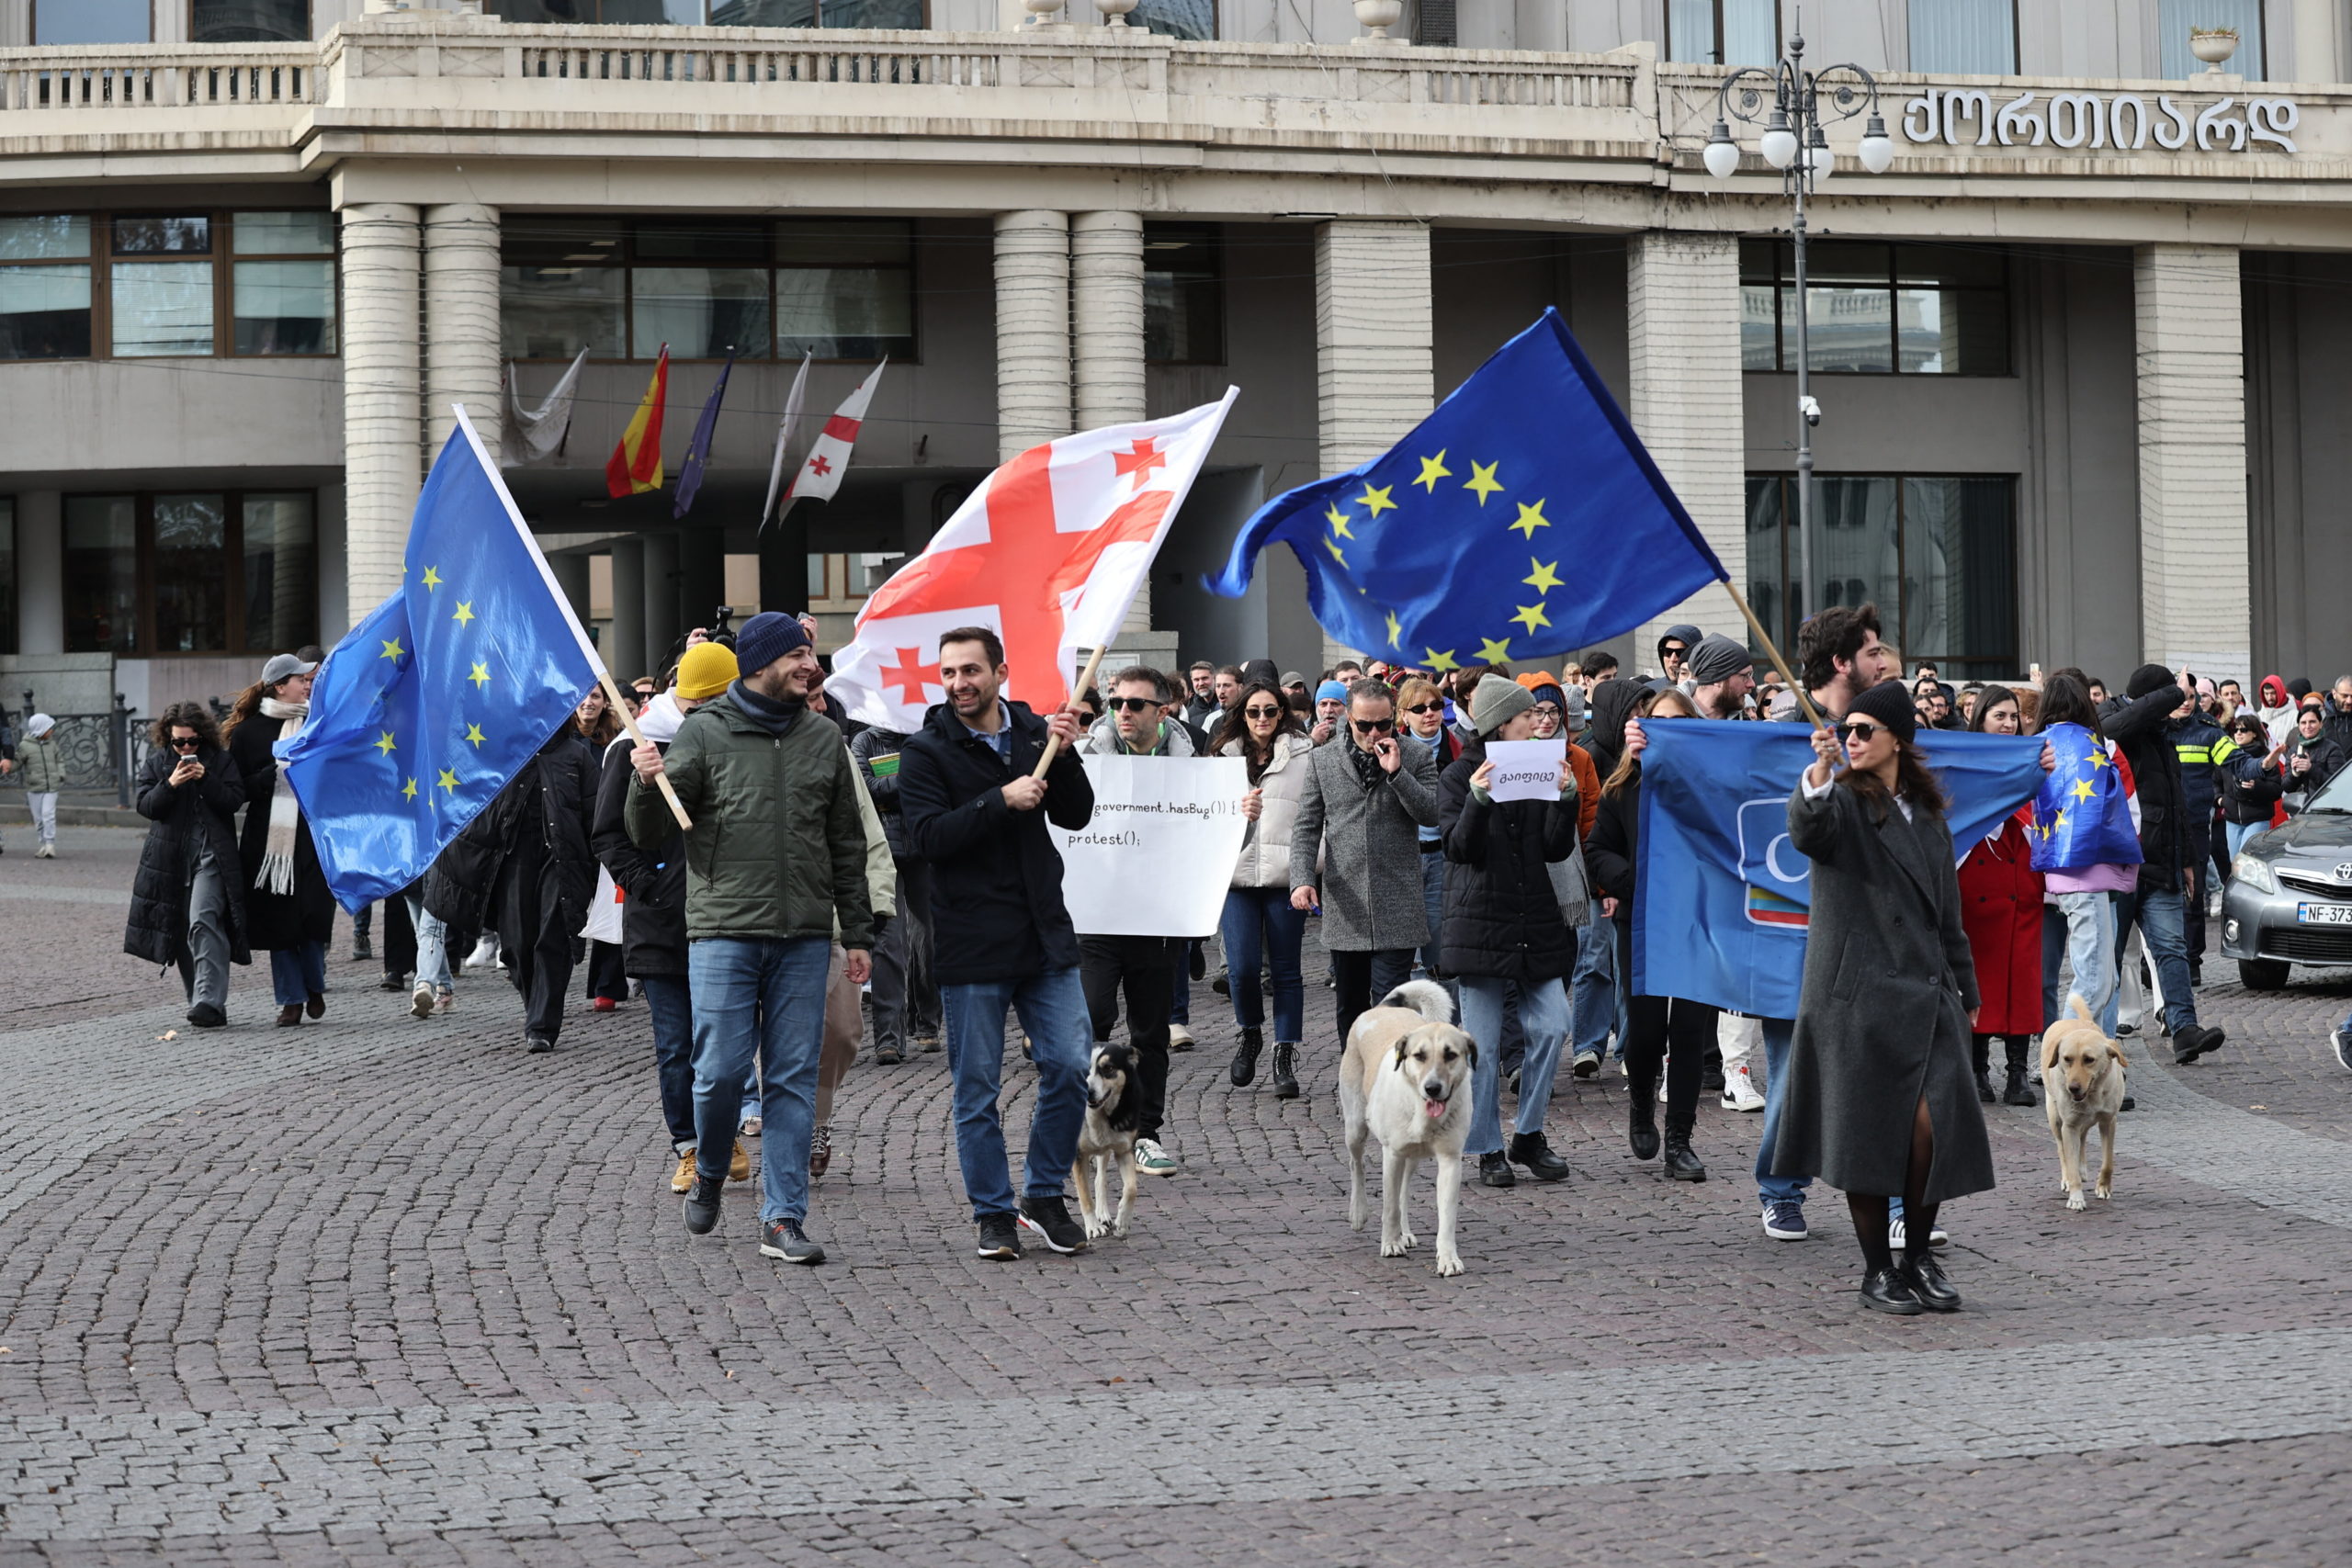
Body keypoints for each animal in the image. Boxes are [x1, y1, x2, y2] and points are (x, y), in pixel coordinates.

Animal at [1077, 1043, 1138, 1241]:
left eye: (1109, 1068)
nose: (1088, 1091)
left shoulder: (1124, 1150)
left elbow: (1131, 1188)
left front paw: (1123, 1221)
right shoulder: (1078, 1154)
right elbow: (1084, 1195)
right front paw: (1093, 1227)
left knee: (1100, 1178)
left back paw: (1103, 1213)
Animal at [1345, 982, 1467, 1279]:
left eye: (1451, 1055)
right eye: (1419, 1056)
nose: (1433, 1088)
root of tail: (1383, 1007)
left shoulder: (1450, 1160)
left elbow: (1446, 1215)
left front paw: (1448, 1259)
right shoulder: (1392, 1154)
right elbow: (1389, 1206)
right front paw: (1390, 1244)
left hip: (1412, 1158)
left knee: (1402, 1192)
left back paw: (1405, 1233)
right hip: (1355, 1126)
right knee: (1357, 1165)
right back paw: (1358, 1213)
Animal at [2041, 991, 2135, 1213]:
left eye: (2089, 1059)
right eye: (2066, 1059)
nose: (2073, 1088)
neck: (2093, 1094)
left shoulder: (2108, 1121)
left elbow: (2108, 1162)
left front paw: (2103, 1187)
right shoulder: (2069, 1126)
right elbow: (2070, 1160)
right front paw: (2076, 1197)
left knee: (2082, 1140)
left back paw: (2082, 1167)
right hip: (2055, 1117)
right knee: (2062, 1150)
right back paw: (2068, 1177)